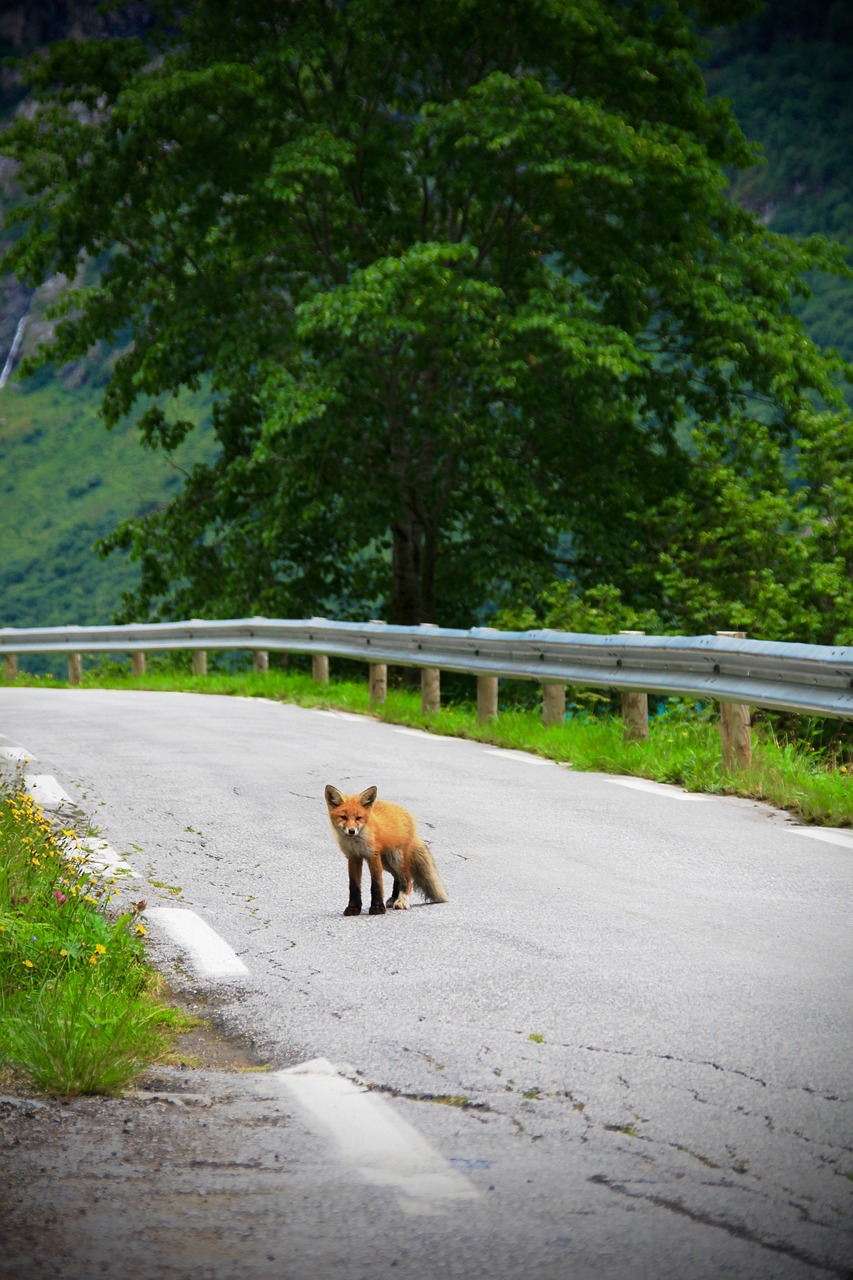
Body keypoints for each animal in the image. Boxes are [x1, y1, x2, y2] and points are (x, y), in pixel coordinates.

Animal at [322, 783, 448, 916]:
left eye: (358, 818)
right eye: (343, 817)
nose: (351, 831)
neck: (357, 843)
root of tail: (406, 812)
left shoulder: (373, 856)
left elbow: (376, 884)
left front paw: (377, 908)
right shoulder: (353, 857)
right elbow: (354, 886)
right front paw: (353, 908)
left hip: (396, 858)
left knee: (407, 879)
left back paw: (401, 900)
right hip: (387, 863)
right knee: (397, 878)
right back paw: (394, 898)